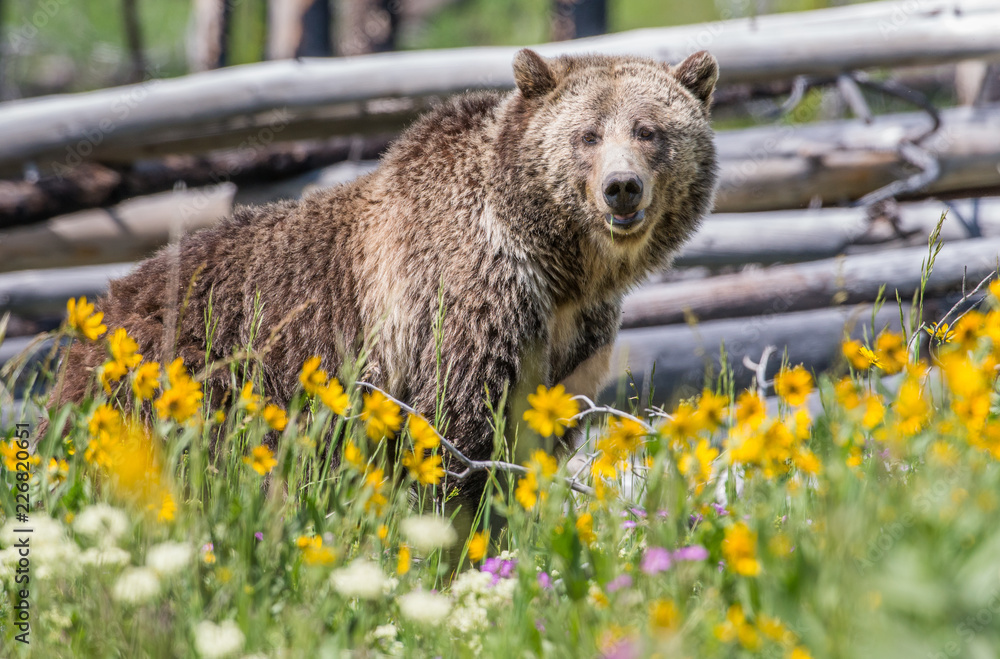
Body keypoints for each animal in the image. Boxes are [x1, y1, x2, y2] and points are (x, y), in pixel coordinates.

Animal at [54, 48, 719, 511]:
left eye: (649, 131)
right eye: (587, 135)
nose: (621, 187)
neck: (557, 263)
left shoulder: (574, 335)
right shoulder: (463, 305)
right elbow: (457, 431)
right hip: (179, 383)